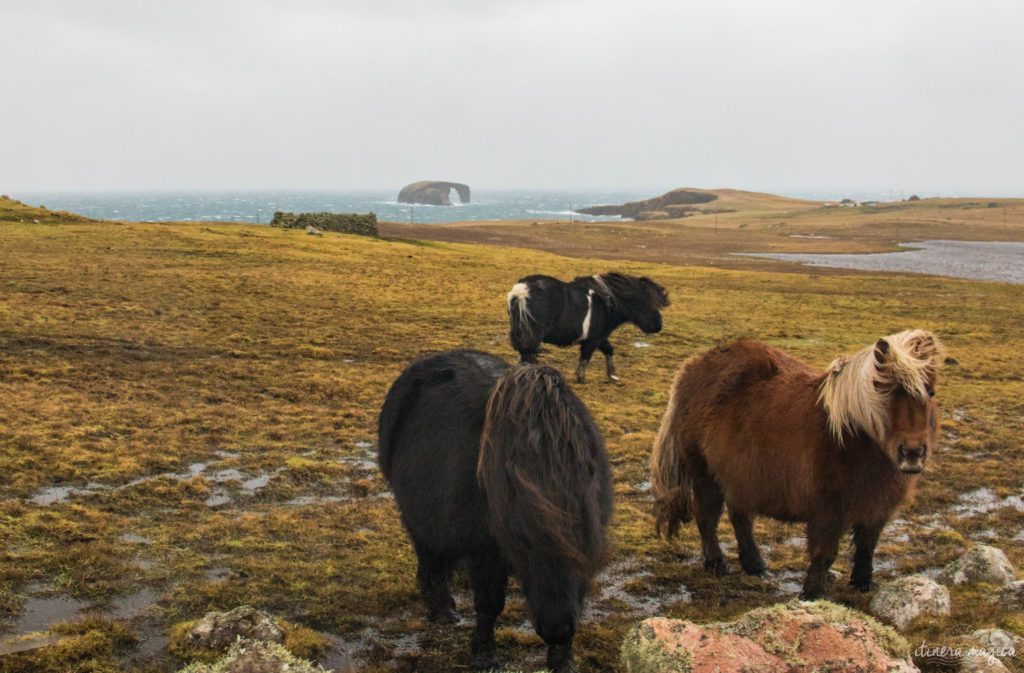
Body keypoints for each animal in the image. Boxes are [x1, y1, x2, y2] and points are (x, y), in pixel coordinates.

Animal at [380, 348, 610, 667]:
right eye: (522, 542)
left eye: (587, 543)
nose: (558, 630)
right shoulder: (483, 551)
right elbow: (489, 604)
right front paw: (485, 655)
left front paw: (563, 662)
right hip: (417, 518)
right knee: (431, 560)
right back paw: (442, 611)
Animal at [505, 270, 667, 381]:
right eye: (647, 303)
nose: (658, 325)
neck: (605, 303)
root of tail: (521, 291)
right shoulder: (593, 340)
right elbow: (586, 357)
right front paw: (581, 378)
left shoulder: (600, 337)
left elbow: (609, 350)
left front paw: (613, 374)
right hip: (533, 334)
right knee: (528, 354)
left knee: (524, 353)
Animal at [647, 327, 942, 594]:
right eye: (883, 390)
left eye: (931, 392)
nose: (912, 453)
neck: (851, 438)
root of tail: (692, 367)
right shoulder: (829, 511)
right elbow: (825, 554)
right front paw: (812, 594)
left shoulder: (876, 508)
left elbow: (867, 547)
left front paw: (863, 584)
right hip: (704, 475)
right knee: (707, 518)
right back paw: (717, 565)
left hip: (738, 476)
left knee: (740, 517)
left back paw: (754, 565)